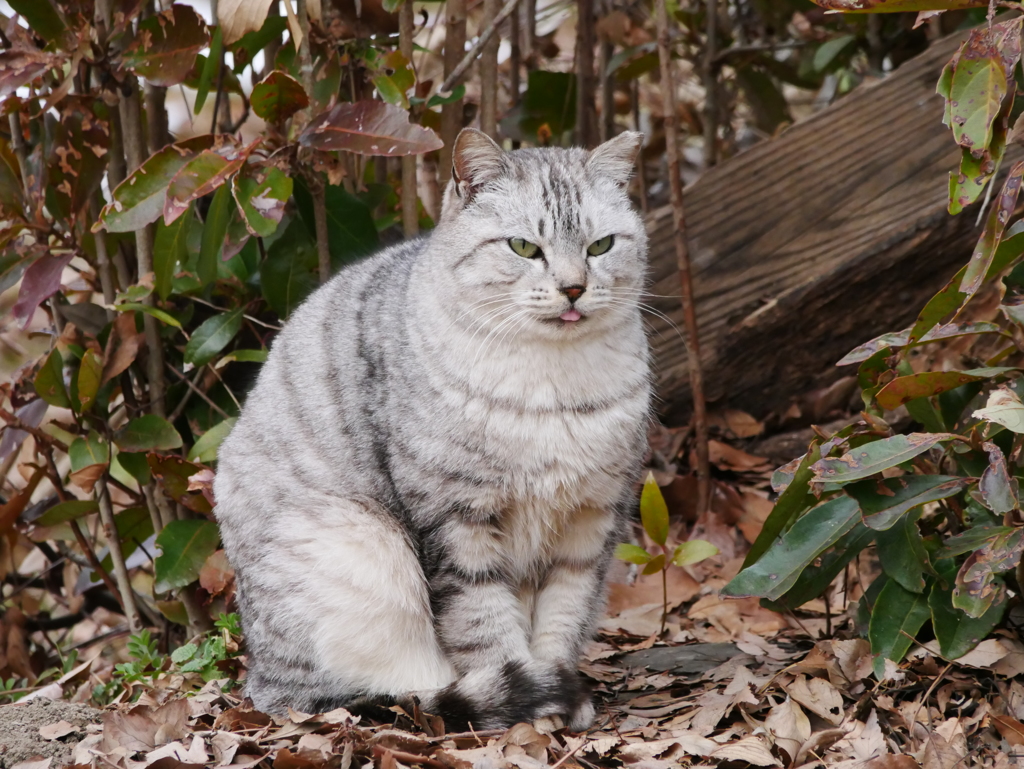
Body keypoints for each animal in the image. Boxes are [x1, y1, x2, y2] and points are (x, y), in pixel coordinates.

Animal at [211, 129, 651, 729]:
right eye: (523, 248)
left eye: (601, 246)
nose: (574, 289)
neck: (551, 385)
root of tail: (258, 679)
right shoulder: (456, 518)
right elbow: (484, 626)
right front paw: (531, 712)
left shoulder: (591, 520)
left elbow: (565, 616)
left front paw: (560, 695)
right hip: (355, 553)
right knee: (383, 694)